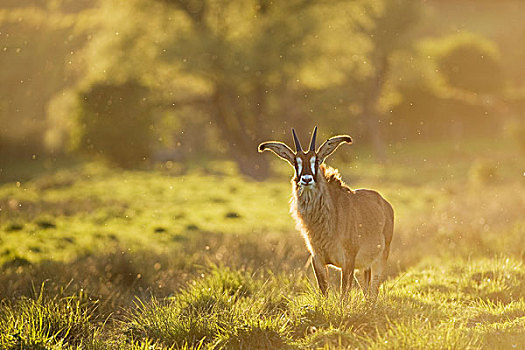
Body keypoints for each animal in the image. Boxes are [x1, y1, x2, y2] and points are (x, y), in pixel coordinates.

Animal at [258, 127, 392, 296]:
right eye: (296, 163)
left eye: (316, 161)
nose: (306, 179)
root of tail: (384, 203)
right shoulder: (318, 260)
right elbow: (324, 292)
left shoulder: (348, 260)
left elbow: (344, 294)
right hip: (363, 267)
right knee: (367, 291)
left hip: (380, 259)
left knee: (373, 292)